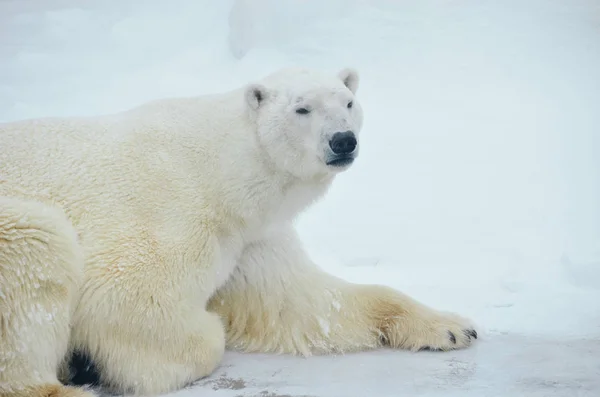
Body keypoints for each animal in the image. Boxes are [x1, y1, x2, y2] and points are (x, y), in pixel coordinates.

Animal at [0, 66, 478, 394]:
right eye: (301, 108)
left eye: (347, 102)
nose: (343, 140)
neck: (222, 168)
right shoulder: (175, 211)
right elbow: (127, 298)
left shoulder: (251, 236)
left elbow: (303, 303)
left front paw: (453, 327)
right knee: (39, 243)